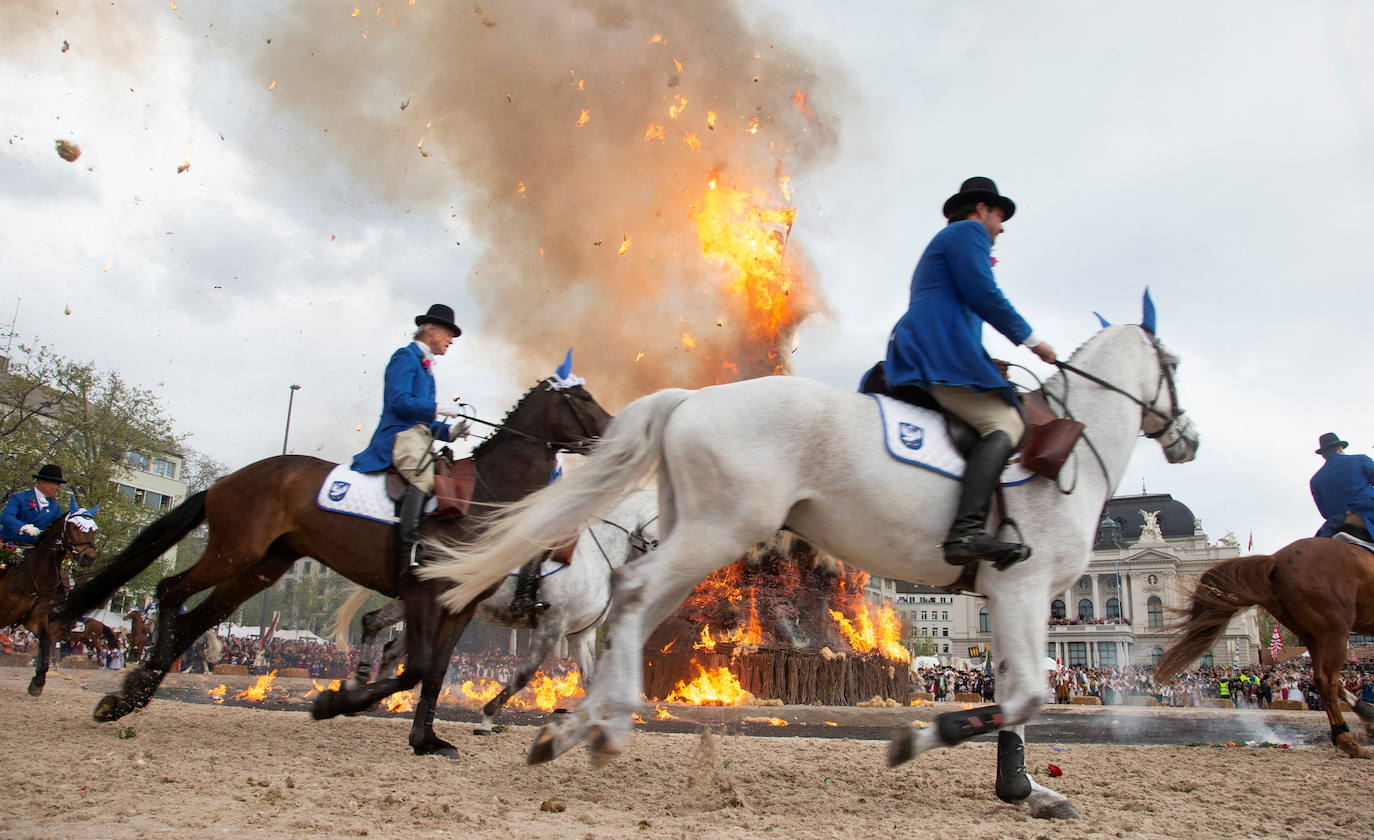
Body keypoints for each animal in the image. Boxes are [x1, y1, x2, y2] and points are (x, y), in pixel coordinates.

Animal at [0, 511, 100, 695]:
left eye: (93, 530)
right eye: (76, 527)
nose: (89, 557)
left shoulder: (36, 618)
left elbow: (46, 642)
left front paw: (38, 681)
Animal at [59, 376, 607, 758]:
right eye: (582, 398)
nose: (612, 432)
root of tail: (229, 479)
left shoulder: (462, 606)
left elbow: (433, 672)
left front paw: (426, 739)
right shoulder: (427, 595)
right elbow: (418, 668)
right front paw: (335, 703)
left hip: (262, 568)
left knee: (201, 618)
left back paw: (133, 694)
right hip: (233, 552)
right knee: (173, 591)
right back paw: (134, 689)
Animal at [333, 489, 659, 731]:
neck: (595, 556)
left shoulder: (581, 635)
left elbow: (590, 681)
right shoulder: (552, 626)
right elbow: (523, 676)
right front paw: (487, 717)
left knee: (390, 646)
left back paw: (372, 695)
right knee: (373, 623)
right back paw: (360, 683)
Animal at [423, 318, 1198, 819]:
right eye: (1175, 366)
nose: (1187, 437)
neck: (1068, 455)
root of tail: (691, 398)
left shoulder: (1012, 598)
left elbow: (1019, 691)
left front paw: (1021, 788)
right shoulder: (1025, 589)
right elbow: (1031, 692)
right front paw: (924, 740)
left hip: (697, 533)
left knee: (631, 610)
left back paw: (582, 723)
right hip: (718, 529)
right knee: (627, 600)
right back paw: (580, 725)